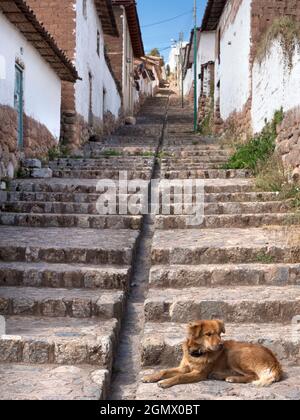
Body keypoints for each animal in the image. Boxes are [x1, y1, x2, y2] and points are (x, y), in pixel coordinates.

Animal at [143, 320, 284, 388]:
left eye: (219, 333)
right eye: (208, 334)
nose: (221, 345)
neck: (197, 353)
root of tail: (274, 360)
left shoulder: (199, 374)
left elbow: (180, 377)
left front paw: (165, 382)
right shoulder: (183, 367)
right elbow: (164, 371)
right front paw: (150, 377)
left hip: (234, 354)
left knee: (253, 376)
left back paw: (233, 378)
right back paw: (219, 375)